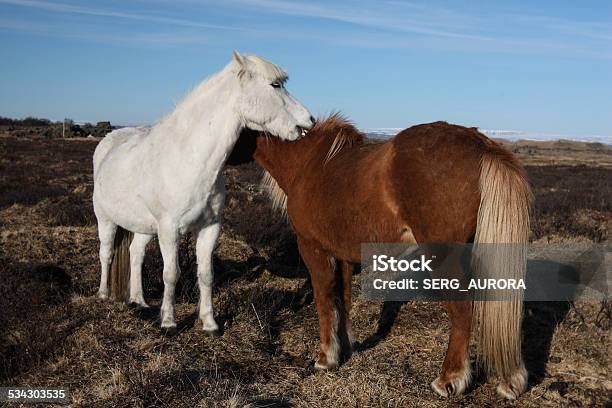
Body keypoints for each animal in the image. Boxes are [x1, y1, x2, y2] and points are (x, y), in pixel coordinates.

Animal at [93, 51, 314, 334]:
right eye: (275, 85)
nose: (309, 120)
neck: (189, 158)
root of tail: (107, 142)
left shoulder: (210, 228)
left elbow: (206, 275)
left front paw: (210, 323)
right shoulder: (169, 230)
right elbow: (171, 274)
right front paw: (169, 322)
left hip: (144, 227)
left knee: (136, 254)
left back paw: (139, 301)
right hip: (106, 219)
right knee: (106, 253)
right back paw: (103, 294)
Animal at [228, 114, 532, 398]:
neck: (306, 163)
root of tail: (482, 145)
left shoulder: (313, 249)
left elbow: (324, 300)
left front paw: (326, 358)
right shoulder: (344, 256)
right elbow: (343, 300)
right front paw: (347, 347)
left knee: (462, 310)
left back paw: (449, 379)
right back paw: (511, 381)